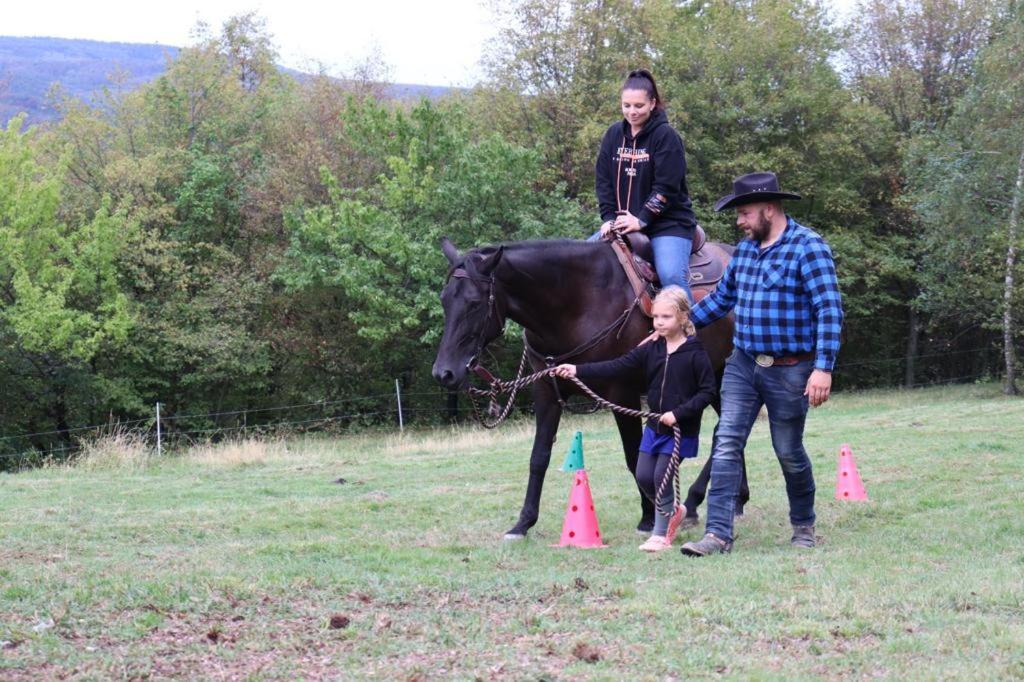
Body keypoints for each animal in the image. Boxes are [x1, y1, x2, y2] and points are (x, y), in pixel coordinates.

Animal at [432, 236, 748, 539]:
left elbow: (633, 456)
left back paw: (695, 501)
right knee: (727, 430)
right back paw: (732, 500)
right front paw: (523, 523)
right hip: (716, 376)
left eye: (474, 303)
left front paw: (648, 518)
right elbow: (538, 457)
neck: (578, 302)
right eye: (445, 300)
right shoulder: (546, 392)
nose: (444, 372)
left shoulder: (623, 393)